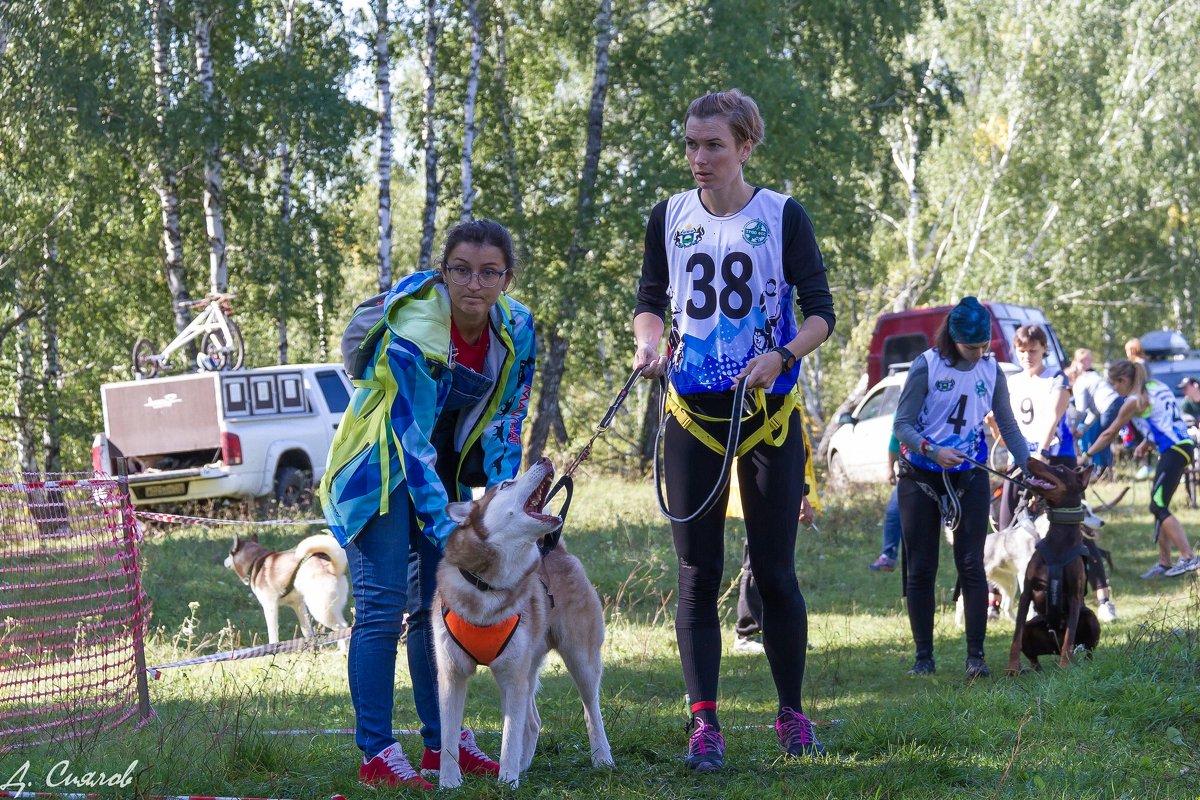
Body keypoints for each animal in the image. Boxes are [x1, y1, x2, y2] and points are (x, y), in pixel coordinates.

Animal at [434, 455, 614, 786]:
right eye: (506, 484)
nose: (544, 458)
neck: (487, 587)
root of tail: (554, 548)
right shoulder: (452, 674)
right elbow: (449, 737)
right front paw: (449, 783)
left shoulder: (512, 675)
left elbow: (509, 735)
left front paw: (507, 781)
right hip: (527, 667)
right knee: (533, 721)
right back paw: (524, 764)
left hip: (580, 659)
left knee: (590, 711)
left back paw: (602, 757)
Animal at [1008, 455, 1099, 676]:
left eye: (1060, 468)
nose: (1028, 458)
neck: (1059, 537)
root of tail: (1053, 648)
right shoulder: (1027, 592)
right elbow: (1016, 636)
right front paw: (1012, 668)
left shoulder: (1075, 596)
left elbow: (1069, 637)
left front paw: (1065, 668)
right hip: (1033, 628)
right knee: (1033, 656)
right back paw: (1033, 670)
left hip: (1091, 618)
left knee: (1084, 648)